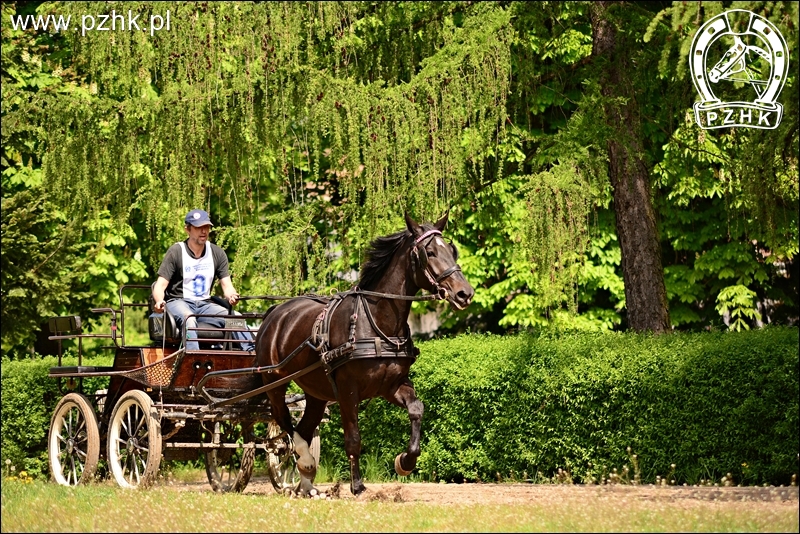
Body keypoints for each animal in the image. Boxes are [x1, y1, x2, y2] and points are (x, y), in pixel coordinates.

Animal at [253, 211, 472, 496]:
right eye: (430, 252)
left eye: (452, 250)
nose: (464, 293)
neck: (376, 322)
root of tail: (274, 313)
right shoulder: (348, 392)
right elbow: (353, 438)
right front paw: (357, 485)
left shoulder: (392, 385)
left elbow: (417, 409)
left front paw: (406, 461)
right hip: (275, 383)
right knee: (284, 422)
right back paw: (304, 462)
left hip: (317, 393)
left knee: (303, 428)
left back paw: (307, 480)